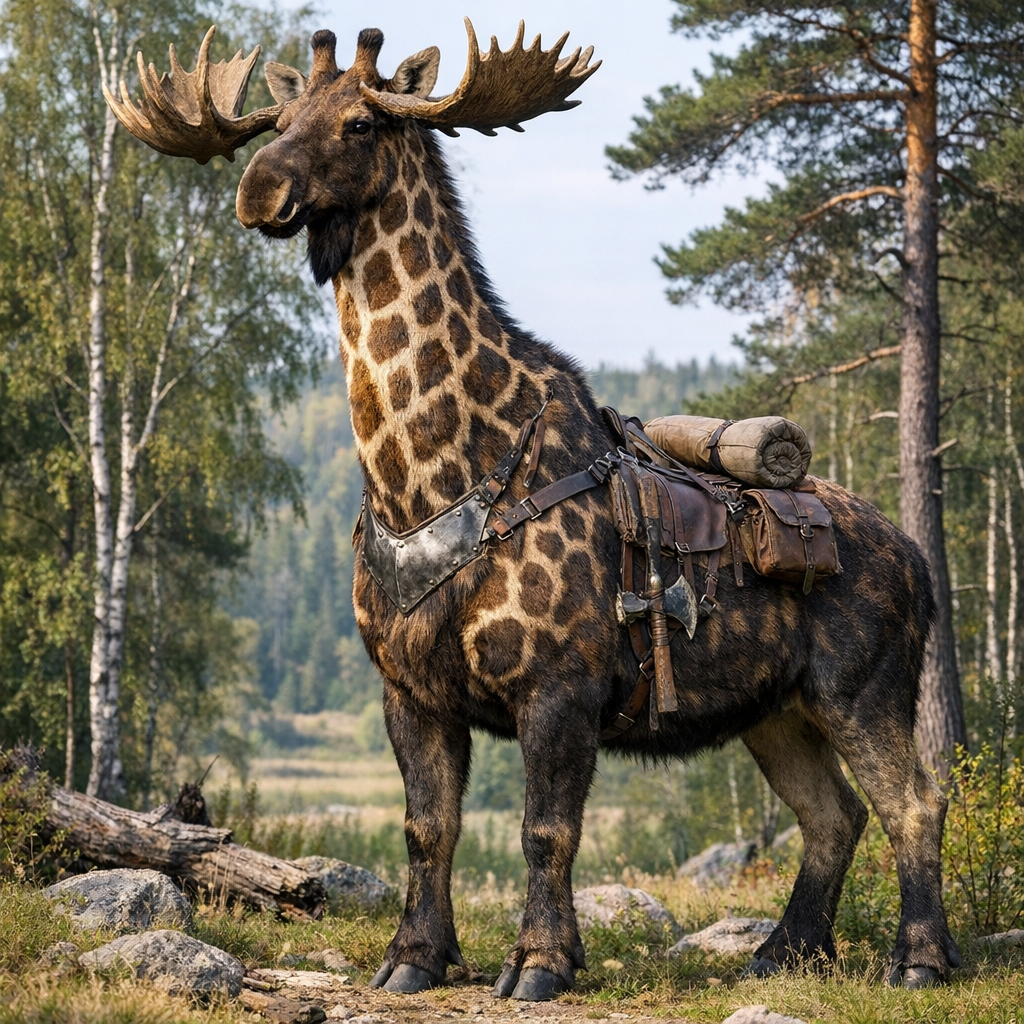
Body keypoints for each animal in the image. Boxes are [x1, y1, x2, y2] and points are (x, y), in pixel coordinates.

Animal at [105, 20, 961, 1001]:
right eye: (275, 120)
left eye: (361, 121)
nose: (258, 190)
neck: (419, 477)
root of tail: (921, 566)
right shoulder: (410, 689)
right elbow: (427, 830)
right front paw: (414, 955)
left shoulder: (559, 686)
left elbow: (546, 833)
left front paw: (542, 961)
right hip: (774, 710)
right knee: (834, 815)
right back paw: (784, 948)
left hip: (864, 689)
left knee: (915, 801)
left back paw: (920, 957)